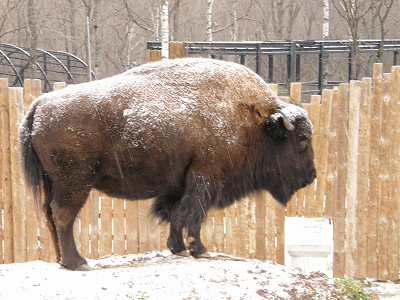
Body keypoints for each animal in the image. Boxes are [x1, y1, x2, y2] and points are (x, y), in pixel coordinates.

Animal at [20, 57, 316, 270]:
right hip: (76, 182)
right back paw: (77, 262)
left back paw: (62, 260)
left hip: (54, 182)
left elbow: (176, 213)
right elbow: (194, 213)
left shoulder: (179, 183)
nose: (311, 176)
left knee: (49, 214)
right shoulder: (206, 177)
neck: (255, 121)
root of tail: (39, 105)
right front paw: (199, 249)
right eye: (302, 139)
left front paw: (178, 248)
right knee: (63, 214)